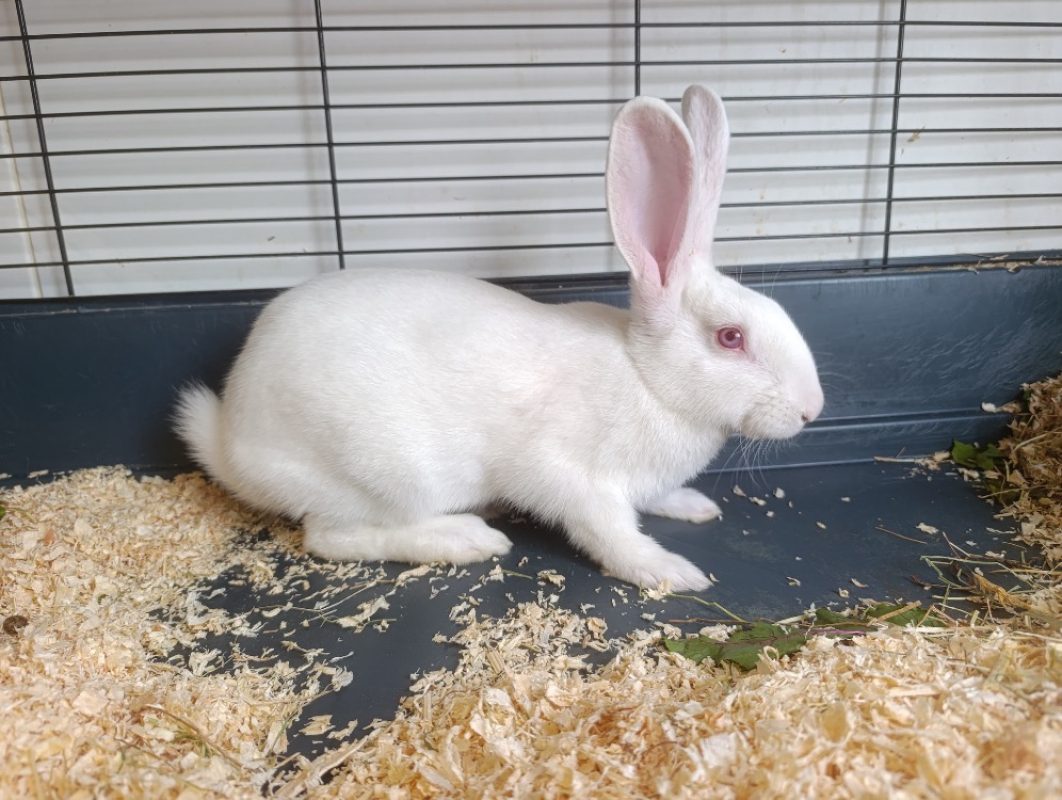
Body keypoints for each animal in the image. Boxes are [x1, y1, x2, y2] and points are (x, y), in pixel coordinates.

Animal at [174, 85, 823, 592]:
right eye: (731, 338)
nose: (812, 411)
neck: (647, 380)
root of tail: (232, 445)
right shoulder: (571, 477)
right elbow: (610, 534)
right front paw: (670, 571)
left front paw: (693, 506)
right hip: (389, 473)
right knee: (332, 536)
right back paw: (465, 538)